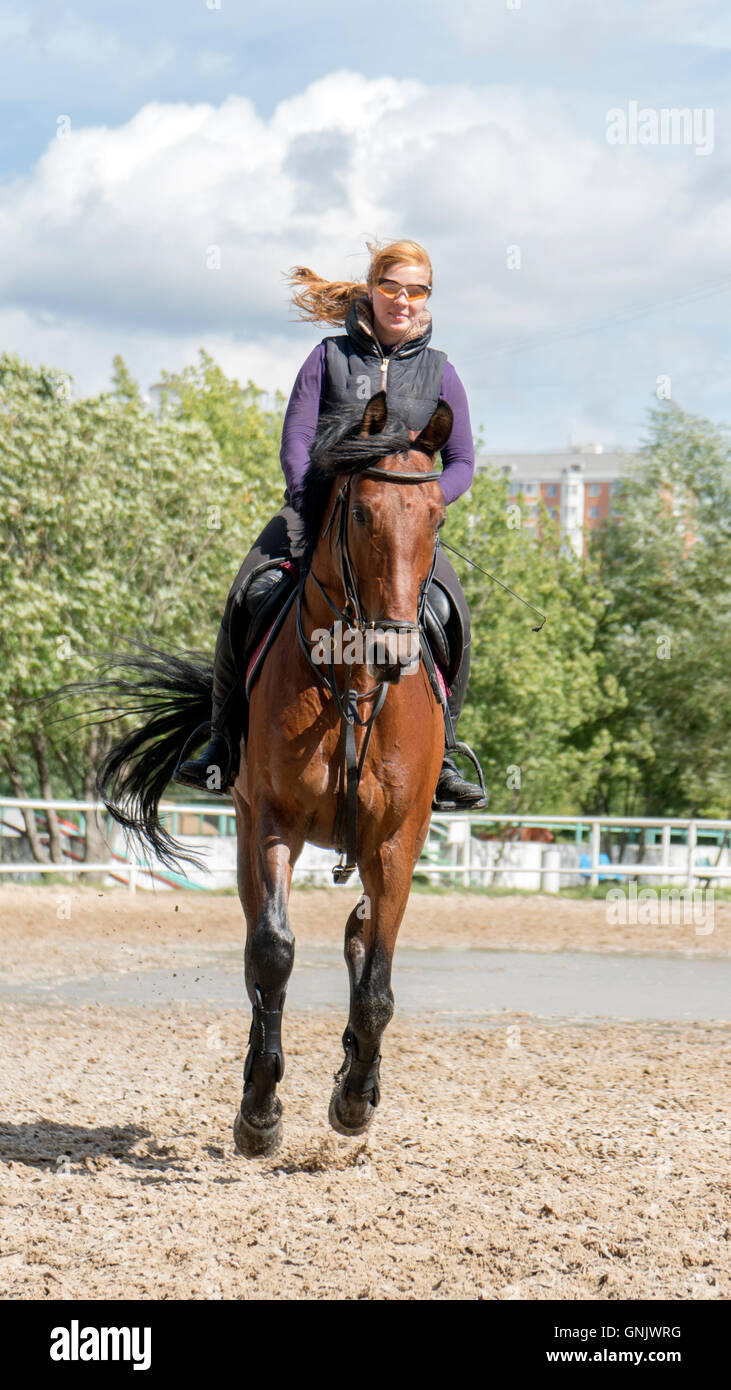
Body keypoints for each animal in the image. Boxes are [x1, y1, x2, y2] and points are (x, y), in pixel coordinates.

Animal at [89, 391, 451, 1156]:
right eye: (360, 513)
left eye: (436, 515)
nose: (394, 653)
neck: (350, 683)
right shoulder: (275, 823)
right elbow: (273, 955)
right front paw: (259, 1109)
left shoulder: (397, 840)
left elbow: (378, 982)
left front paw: (354, 1099)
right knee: (263, 948)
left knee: (360, 935)